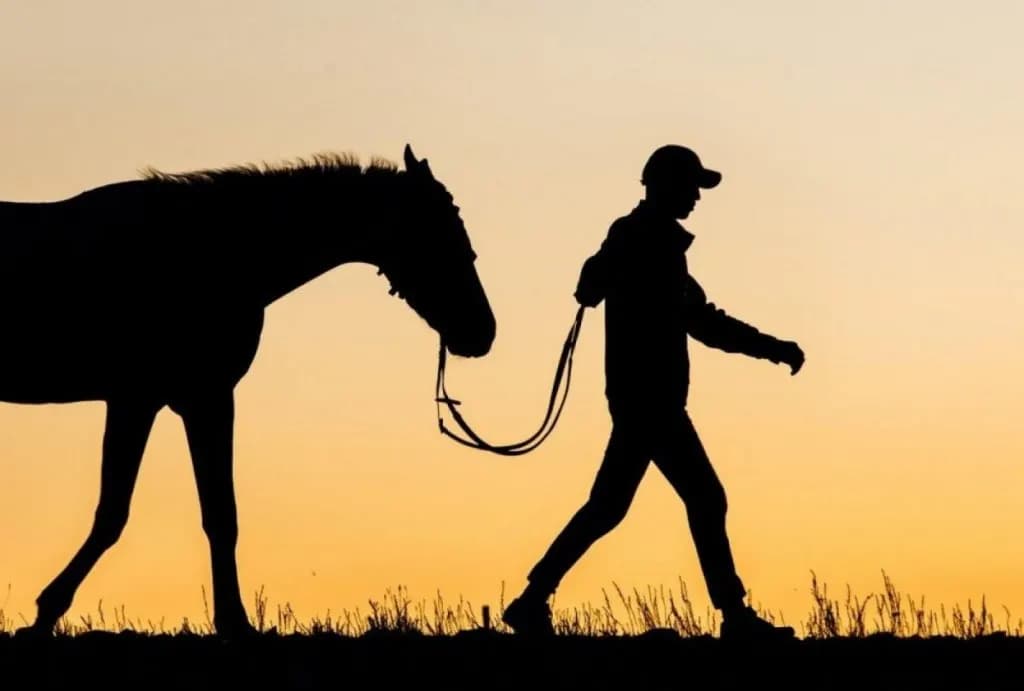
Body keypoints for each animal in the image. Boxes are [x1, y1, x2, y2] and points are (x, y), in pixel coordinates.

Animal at [0, 144, 496, 637]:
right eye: (442, 231)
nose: (482, 331)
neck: (217, 252)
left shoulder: (167, 400)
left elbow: (192, 513)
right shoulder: (184, 398)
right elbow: (153, 513)